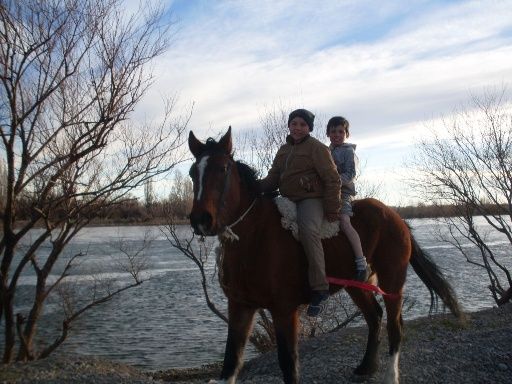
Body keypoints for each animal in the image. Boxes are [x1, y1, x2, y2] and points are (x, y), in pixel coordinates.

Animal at [186, 128, 462, 384]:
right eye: (192, 172)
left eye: (223, 168)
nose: (201, 219)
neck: (256, 237)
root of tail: (395, 216)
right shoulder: (239, 306)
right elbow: (230, 361)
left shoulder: (284, 309)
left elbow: (288, 364)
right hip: (356, 285)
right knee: (375, 316)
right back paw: (366, 367)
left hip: (392, 281)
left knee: (395, 327)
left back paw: (390, 376)